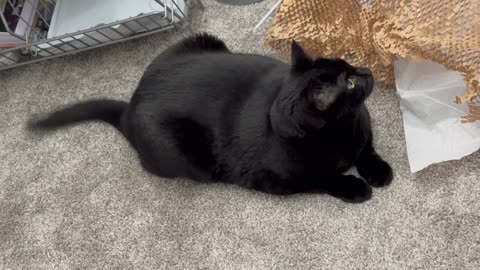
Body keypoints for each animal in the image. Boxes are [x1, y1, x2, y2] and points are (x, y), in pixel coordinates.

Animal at [28, 32, 392, 202]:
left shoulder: (363, 132)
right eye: (349, 82)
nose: (365, 70)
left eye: (349, 66)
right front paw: (355, 187)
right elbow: (322, 179)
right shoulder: (280, 181)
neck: (341, 133)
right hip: (190, 161)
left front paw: (379, 171)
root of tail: (131, 104)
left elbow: (367, 149)